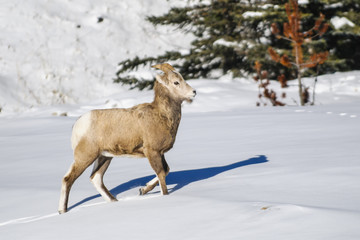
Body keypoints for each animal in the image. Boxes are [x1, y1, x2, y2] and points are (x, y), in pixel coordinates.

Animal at [57, 62, 195, 213]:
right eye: (176, 82)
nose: (194, 92)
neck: (162, 116)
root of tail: (78, 124)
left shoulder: (160, 153)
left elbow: (167, 170)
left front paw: (142, 190)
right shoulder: (152, 152)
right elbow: (161, 174)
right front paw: (164, 196)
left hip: (104, 157)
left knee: (96, 178)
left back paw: (114, 201)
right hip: (85, 156)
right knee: (68, 179)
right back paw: (62, 210)